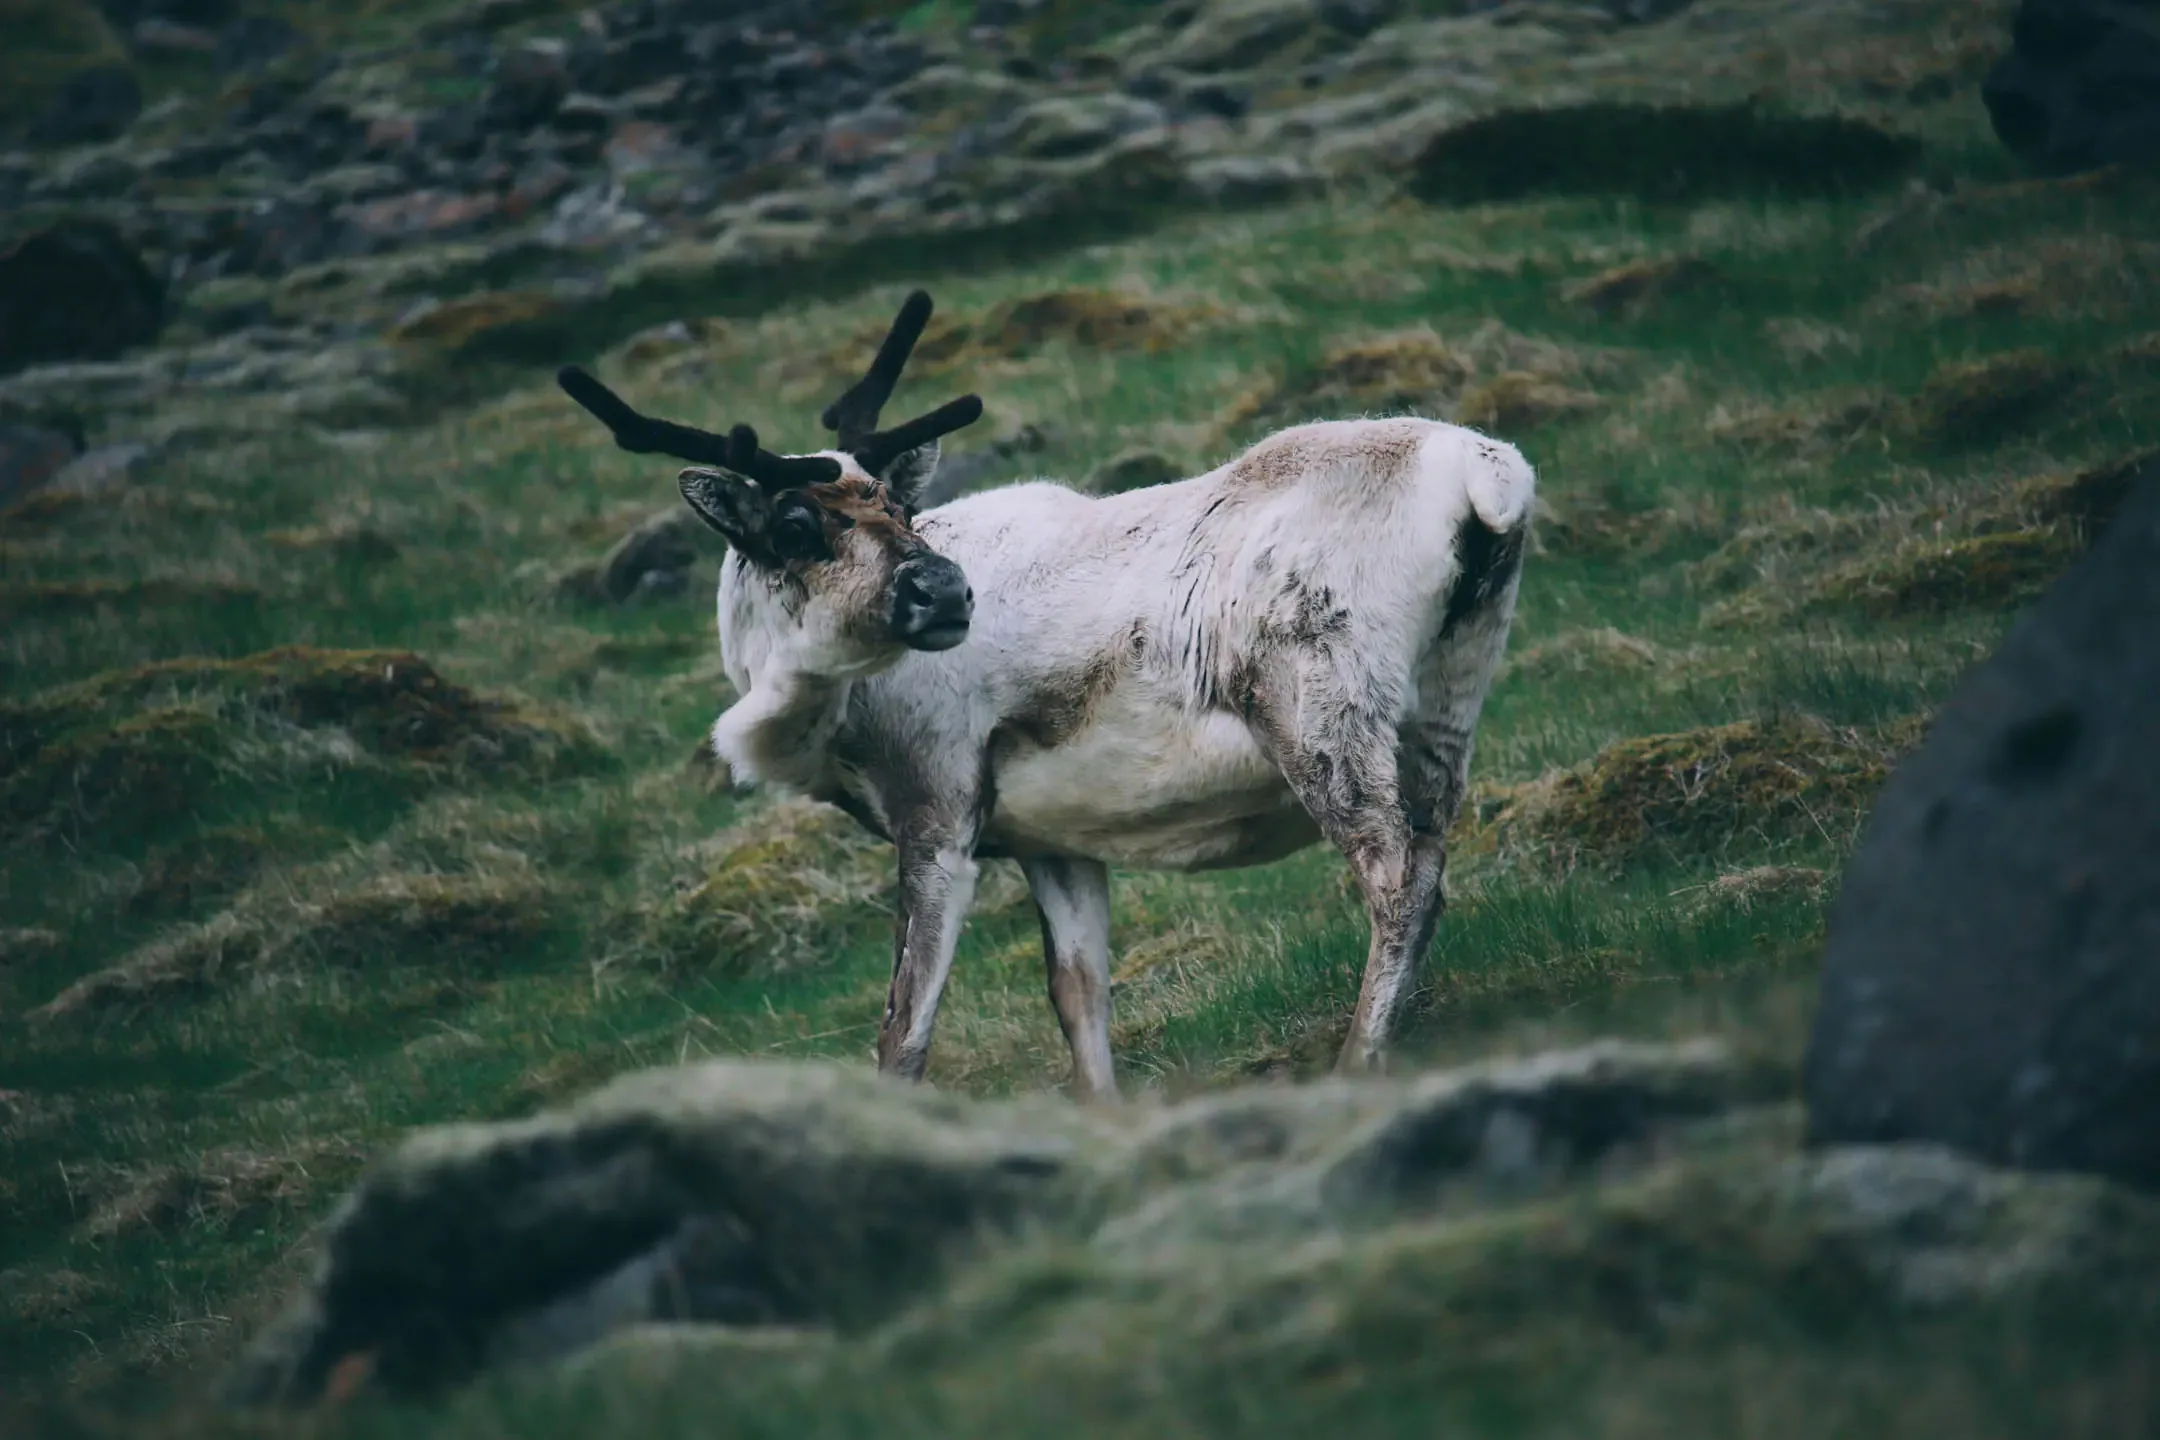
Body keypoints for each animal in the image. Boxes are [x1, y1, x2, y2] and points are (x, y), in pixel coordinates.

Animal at [556, 289, 1534, 1101]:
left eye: (896, 508)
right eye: (796, 523)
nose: (944, 591)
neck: (821, 715)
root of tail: (1488, 476)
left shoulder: (938, 809)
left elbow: (903, 1031)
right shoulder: (1052, 841)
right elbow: (1078, 995)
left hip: (1318, 706)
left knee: (1394, 877)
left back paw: (1358, 1059)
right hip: (1445, 707)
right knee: (1432, 858)